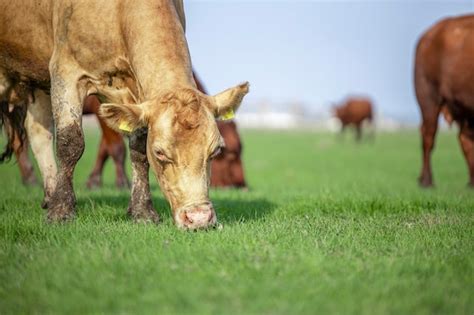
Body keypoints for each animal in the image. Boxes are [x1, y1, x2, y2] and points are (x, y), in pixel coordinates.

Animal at [0, 1, 250, 231]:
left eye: (216, 151)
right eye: (160, 153)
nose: (199, 218)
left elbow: (137, 149)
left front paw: (142, 211)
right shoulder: (66, 72)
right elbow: (71, 142)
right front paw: (61, 210)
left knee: (38, 131)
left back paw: (49, 195)